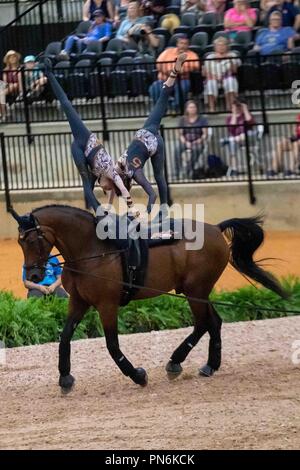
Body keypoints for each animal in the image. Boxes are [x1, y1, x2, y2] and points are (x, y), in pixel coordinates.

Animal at [11, 206, 288, 392]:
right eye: (20, 242)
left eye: (32, 239)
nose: (33, 274)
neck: (93, 250)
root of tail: (214, 229)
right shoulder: (78, 302)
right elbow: (65, 337)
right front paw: (65, 378)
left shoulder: (107, 305)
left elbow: (112, 345)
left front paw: (137, 375)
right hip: (199, 292)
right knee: (214, 322)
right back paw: (210, 365)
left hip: (195, 291)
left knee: (202, 323)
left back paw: (176, 362)